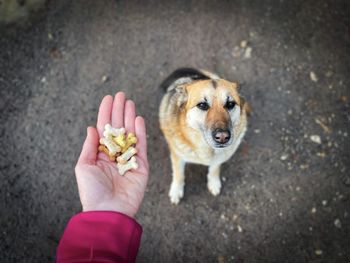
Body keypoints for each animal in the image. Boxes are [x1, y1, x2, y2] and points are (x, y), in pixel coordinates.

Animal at [159, 67, 249, 204]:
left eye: (230, 104)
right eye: (202, 105)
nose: (222, 137)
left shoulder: (218, 158)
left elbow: (214, 169)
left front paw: (214, 182)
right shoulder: (177, 156)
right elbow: (178, 174)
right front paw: (176, 190)